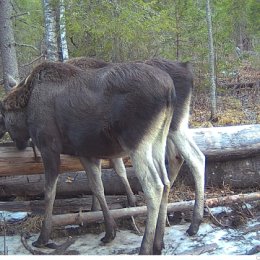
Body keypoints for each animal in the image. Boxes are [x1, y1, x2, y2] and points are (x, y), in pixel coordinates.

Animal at [0, 60, 175, 254]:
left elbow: (49, 193)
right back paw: (158, 242)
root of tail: (169, 90)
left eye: (2, 115)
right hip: (158, 140)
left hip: (137, 144)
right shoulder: (86, 154)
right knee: (166, 182)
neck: (26, 111)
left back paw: (145, 247)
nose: (15, 142)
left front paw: (43, 237)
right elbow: (97, 188)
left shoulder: (49, 148)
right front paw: (109, 232)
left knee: (154, 186)